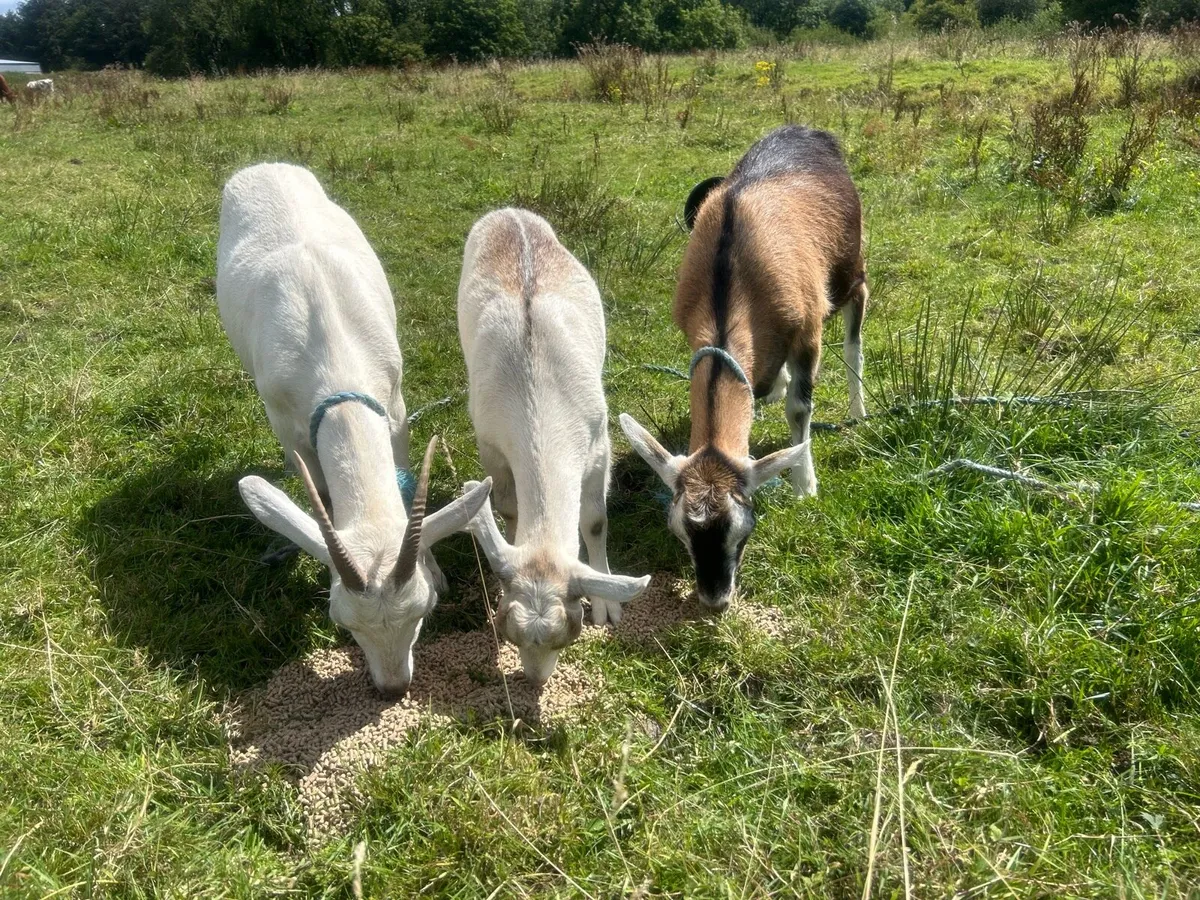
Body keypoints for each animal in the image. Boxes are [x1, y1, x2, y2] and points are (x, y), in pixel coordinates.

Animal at [217, 162, 491, 697]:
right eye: (343, 622)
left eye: (424, 609)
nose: (393, 688)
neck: (332, 348)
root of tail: (263, 165)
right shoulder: (286, 422)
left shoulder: (395, 406)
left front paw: (432, 564)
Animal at [457, 208, 651, 683]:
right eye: (507, 627)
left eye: (570, 631)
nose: (535, 678)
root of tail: (509, 211)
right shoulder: (490, 445)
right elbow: (508, 508)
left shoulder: (599, 444)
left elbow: (595, 520)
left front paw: (607, 606)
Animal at [620, 125, 868, 610]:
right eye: (680, 532)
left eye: (742, 529)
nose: (715, 599)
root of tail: (809, 131)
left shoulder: (808, 329)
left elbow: (800, 409)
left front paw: (805, 485)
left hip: (853, 270)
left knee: (853, 340)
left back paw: (858, 410)